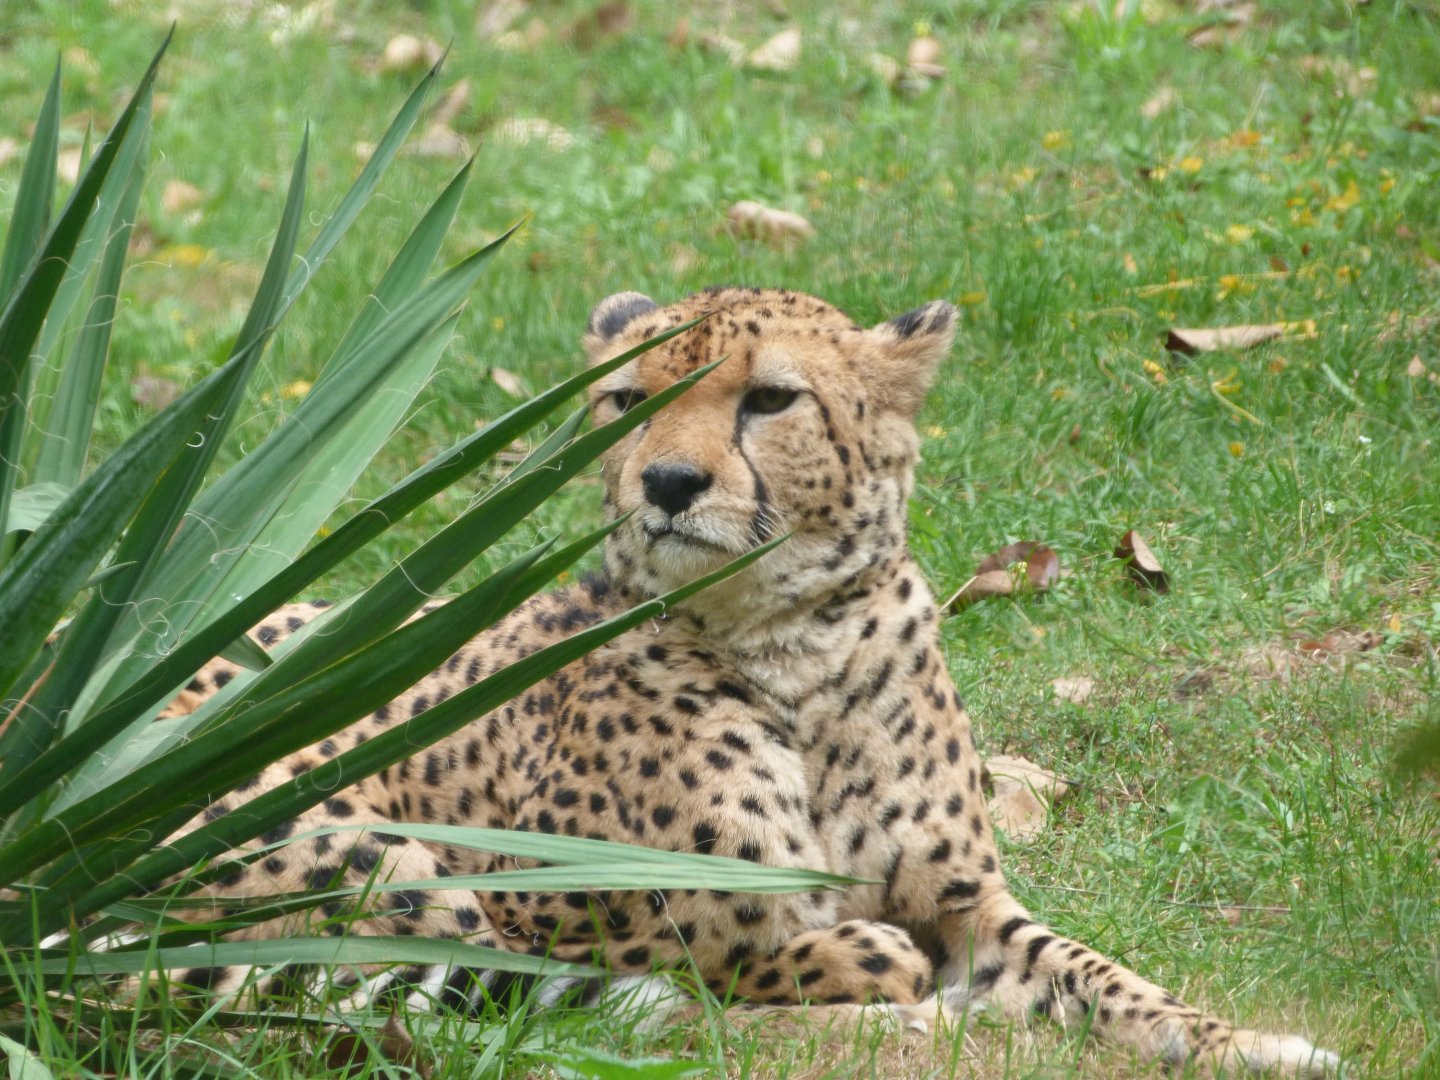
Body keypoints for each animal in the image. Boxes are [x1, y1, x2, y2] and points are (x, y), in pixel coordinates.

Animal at [165, 287, 1337, 1074]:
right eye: (628, 401)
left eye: (771, 398)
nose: (668, 482)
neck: (789, 644)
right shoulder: (539, 905)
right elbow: (707, 954)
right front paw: (865, 964)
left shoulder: (969, 905)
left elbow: (1107, 975)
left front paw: (1251, 1041)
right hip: (345, 839)